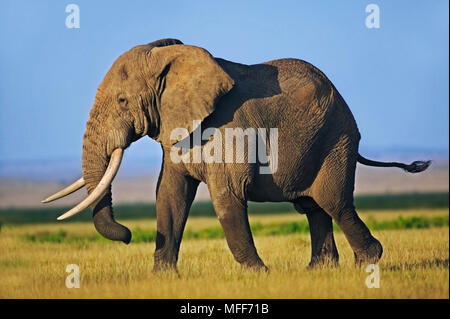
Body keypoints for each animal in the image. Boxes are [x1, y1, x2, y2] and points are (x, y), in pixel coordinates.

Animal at [44, 38, 430, 272]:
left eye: (123, 100)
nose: (126, 235)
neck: (174, 59)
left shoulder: (228, 128)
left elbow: (227, 196)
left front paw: (259, 274)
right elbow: (169, 195)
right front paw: (162, 277)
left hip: (336, 137)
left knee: (333, 201)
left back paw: (368, 263)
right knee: (311, 206)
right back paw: (319, 270)